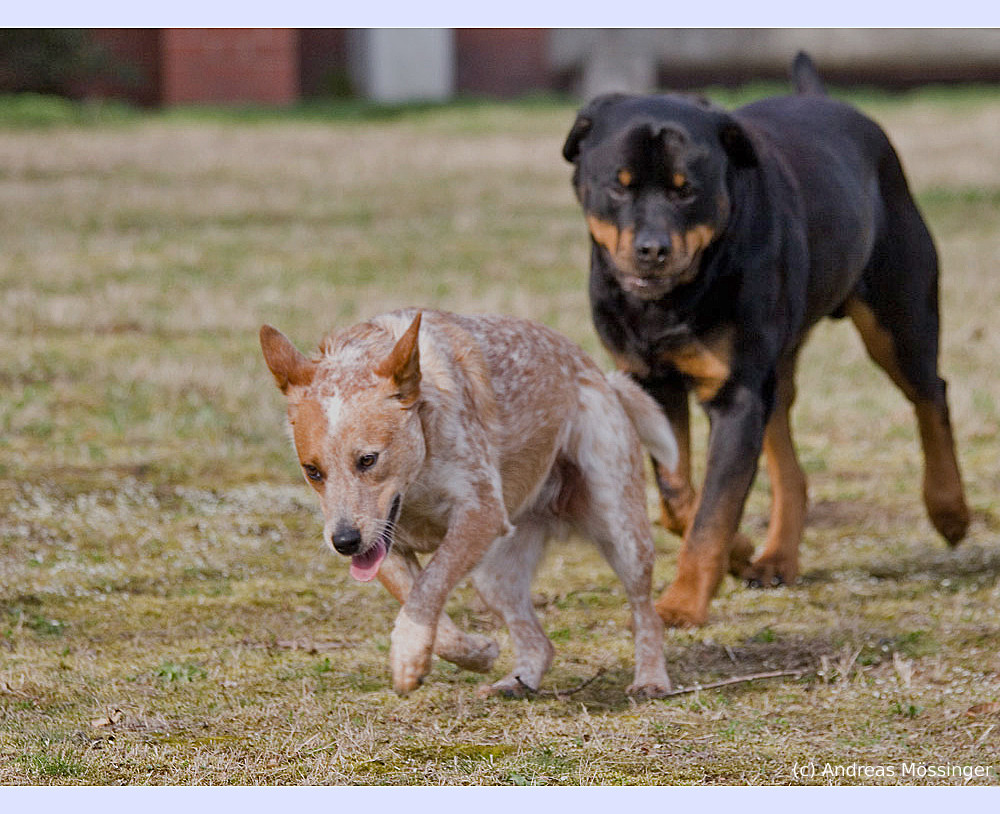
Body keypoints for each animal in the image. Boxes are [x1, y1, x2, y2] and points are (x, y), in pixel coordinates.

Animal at [258, 310, 680, 700]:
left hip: (621, 530)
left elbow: (429, 584)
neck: (417, 480)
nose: (343, 543)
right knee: (539, 642)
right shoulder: (385, 546)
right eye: (312, 471)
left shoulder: (480, 514)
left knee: (646, 612)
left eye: (368, 460)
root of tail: (601, 376)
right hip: (493, 573)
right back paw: (517, 681)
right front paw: (471, 653)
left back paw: (651, 679)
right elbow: (422, 604)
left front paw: (409, 652)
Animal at [564, 51, 968, 628]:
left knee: (930, 392)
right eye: (618, 185)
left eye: (687, 189)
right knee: (790, 465)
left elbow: (712, 511)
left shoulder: (737, 396)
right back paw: (776, 557)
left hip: (897, 316)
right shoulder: (654, 384)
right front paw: (736, 553)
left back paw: (949, 510)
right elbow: (681, 497)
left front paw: (682, 604)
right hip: (777, 366)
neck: (672, 301)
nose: (652, 249)